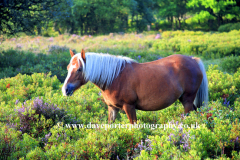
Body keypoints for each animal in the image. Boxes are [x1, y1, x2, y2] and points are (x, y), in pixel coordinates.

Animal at [62, 49, 208, 124]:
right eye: (68, 68)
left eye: (79, 69)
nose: (65, 90)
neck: (115, 77)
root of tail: (193, 60)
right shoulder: (112, 108)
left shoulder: (129, 107)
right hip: (186, 100)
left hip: (187, 100)